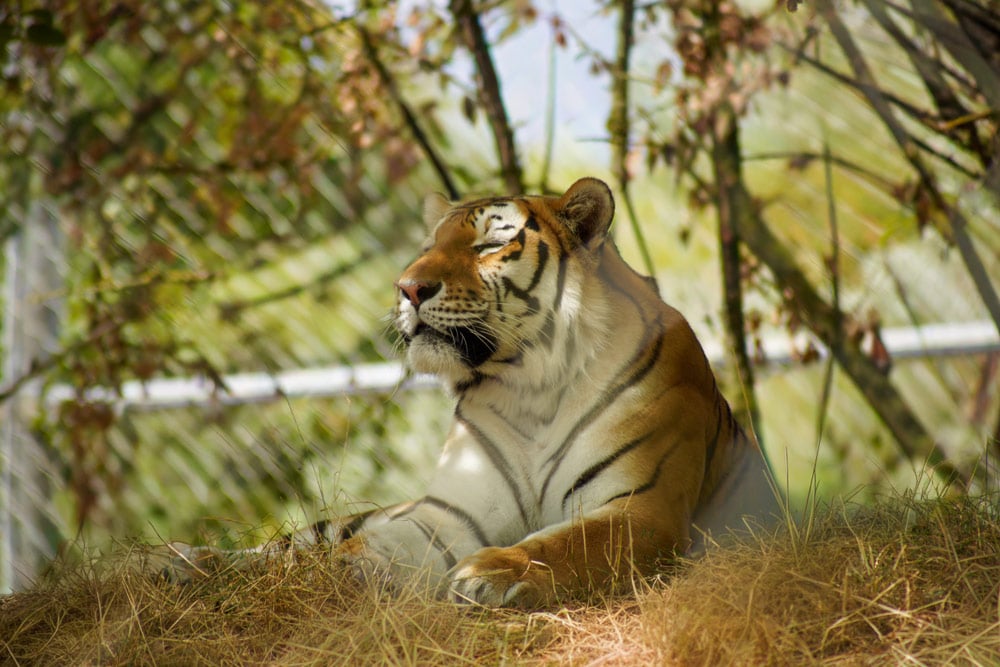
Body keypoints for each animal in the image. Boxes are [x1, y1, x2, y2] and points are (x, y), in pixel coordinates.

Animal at [163, 177, 780, 608]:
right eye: (428, 244)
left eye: (488, 244)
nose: (408, 288)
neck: (531, 387)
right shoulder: (447, 516)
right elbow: (358, 551)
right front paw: (338, 575)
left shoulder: (643, 508)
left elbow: (570, 542)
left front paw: (494, 574)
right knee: (291, 543)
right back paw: (182, 562)